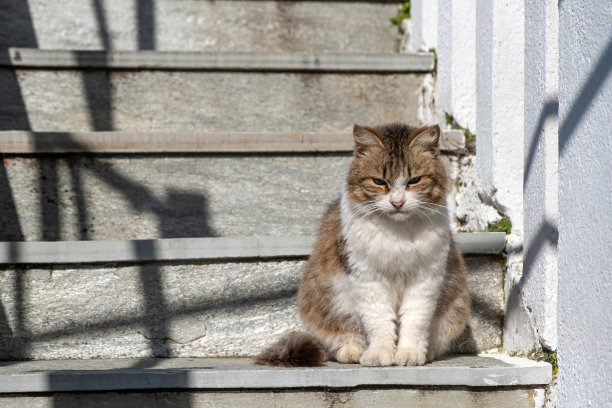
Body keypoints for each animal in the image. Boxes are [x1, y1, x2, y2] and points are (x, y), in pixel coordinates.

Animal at [256, 123, 470, 366]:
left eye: (414, 181)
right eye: (379, 182)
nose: (397, 202)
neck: (396, 234)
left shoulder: (426, 279)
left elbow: (414, 322)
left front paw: (409, 354)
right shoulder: (367, 278)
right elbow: (379, 322)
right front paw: (379, 354)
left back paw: (428, 352)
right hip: (330, 299)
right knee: (344, 335)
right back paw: (352, 352)